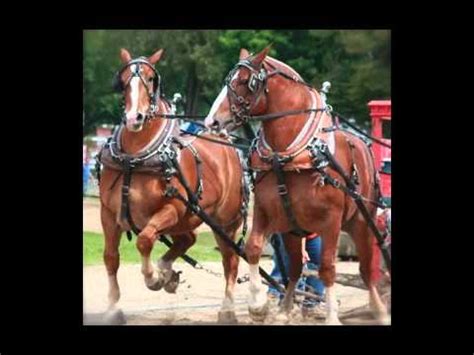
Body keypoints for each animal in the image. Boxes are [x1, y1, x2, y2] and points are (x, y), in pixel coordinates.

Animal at [96, 49, 244, 326]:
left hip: (224, 222)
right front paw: (112, 308)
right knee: (188, 239)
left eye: (151, 79)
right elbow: (111, 257)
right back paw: (169, 273)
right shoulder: (108, 213)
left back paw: (227, 310)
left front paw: (153, 278)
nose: (134, 118)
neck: (135, 159)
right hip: (188, 218)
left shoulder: (172, 208)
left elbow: (144, 240)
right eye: (123, 80)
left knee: (230, 260)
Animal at [206, 47, 390, 326]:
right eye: (228, 81)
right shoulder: (267, 212)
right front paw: (260, 306)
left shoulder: (331, 222)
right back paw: (285, 309)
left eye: (244, 82)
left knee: (366, 269)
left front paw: (332, 317)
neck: (289, 156)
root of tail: (363, 144)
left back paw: (378, 310)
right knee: (294, 266)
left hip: (361, 221)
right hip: (295, 230)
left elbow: (327, 268)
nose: (212, 122)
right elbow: (253, 249)